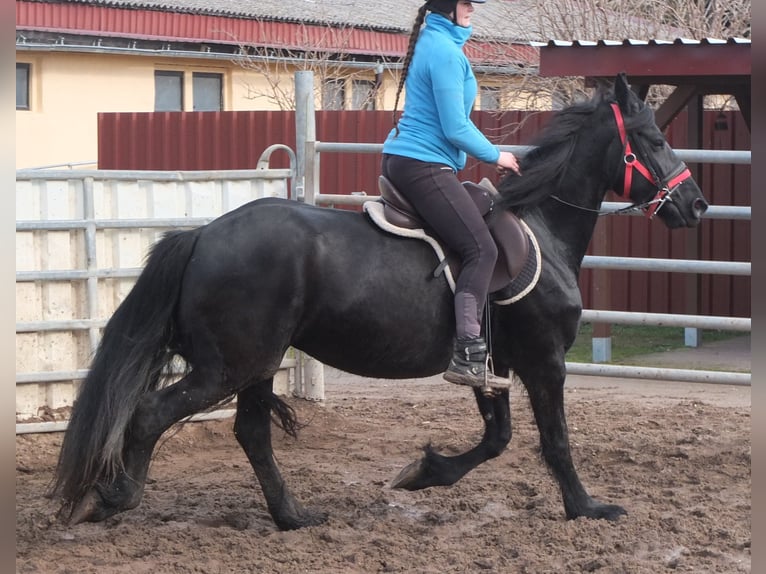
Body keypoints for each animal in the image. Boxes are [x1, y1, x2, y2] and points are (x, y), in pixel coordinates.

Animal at [51, 74, 708, 532]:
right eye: (653, 139)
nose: (696, 205)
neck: (540, 227)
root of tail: (203, 236)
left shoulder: (489, 364)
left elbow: (497, 437)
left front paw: (423, 473)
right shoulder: (545, 361)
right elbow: (556, 441)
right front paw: (587, 508)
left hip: (257, 366)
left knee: (252, 435)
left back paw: (292, 517)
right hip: (228, 367)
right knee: (151, 414)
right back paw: (113, 498)